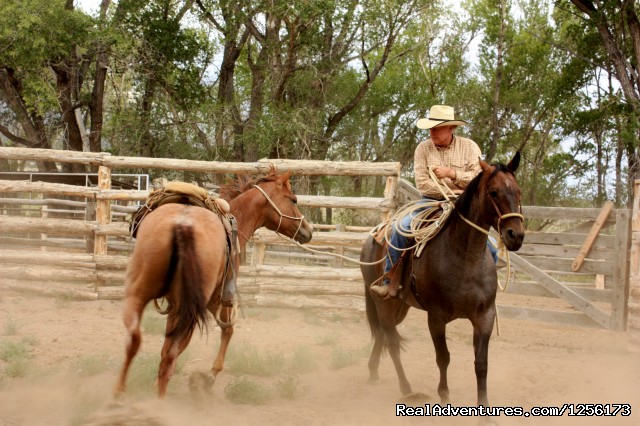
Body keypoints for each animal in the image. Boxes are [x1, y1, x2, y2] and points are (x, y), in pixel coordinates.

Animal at [117, 168, 316, 398]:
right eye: (293, 199)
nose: (308, 230)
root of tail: (182, 225)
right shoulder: (216, 300)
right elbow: (227, 330)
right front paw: (210, 376)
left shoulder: (175, 304)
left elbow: (165, 346)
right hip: (190, 307)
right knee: (171, 356)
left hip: (139, 293)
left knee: (136, 341)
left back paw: (120, 394)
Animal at [360, 152, 524, 406]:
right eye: (494, 192)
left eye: (518, 191)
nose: (515, 235)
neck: (464, 257)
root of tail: (372, 237)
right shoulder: (436, 318)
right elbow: (443, 358)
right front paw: (444, 395)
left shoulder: (485, 317)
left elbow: (481, 364)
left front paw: (484, 407)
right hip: (382, 302)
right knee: (392, 342)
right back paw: (406, 388)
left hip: (400, 306)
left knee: (383, 335)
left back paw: (373, 372)